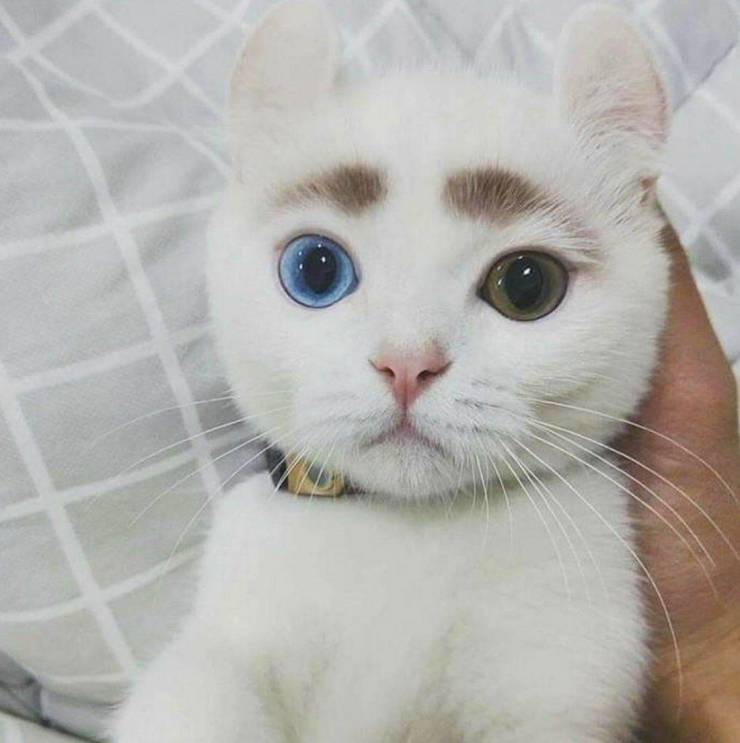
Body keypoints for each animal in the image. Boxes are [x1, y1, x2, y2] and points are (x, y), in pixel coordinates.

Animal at [113, 1, 671, 741]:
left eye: (527, 285)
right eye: (315, 269)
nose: (408, 362)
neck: (405, 529)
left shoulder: (561, 667)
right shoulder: (228, 639)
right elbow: (196, 695)